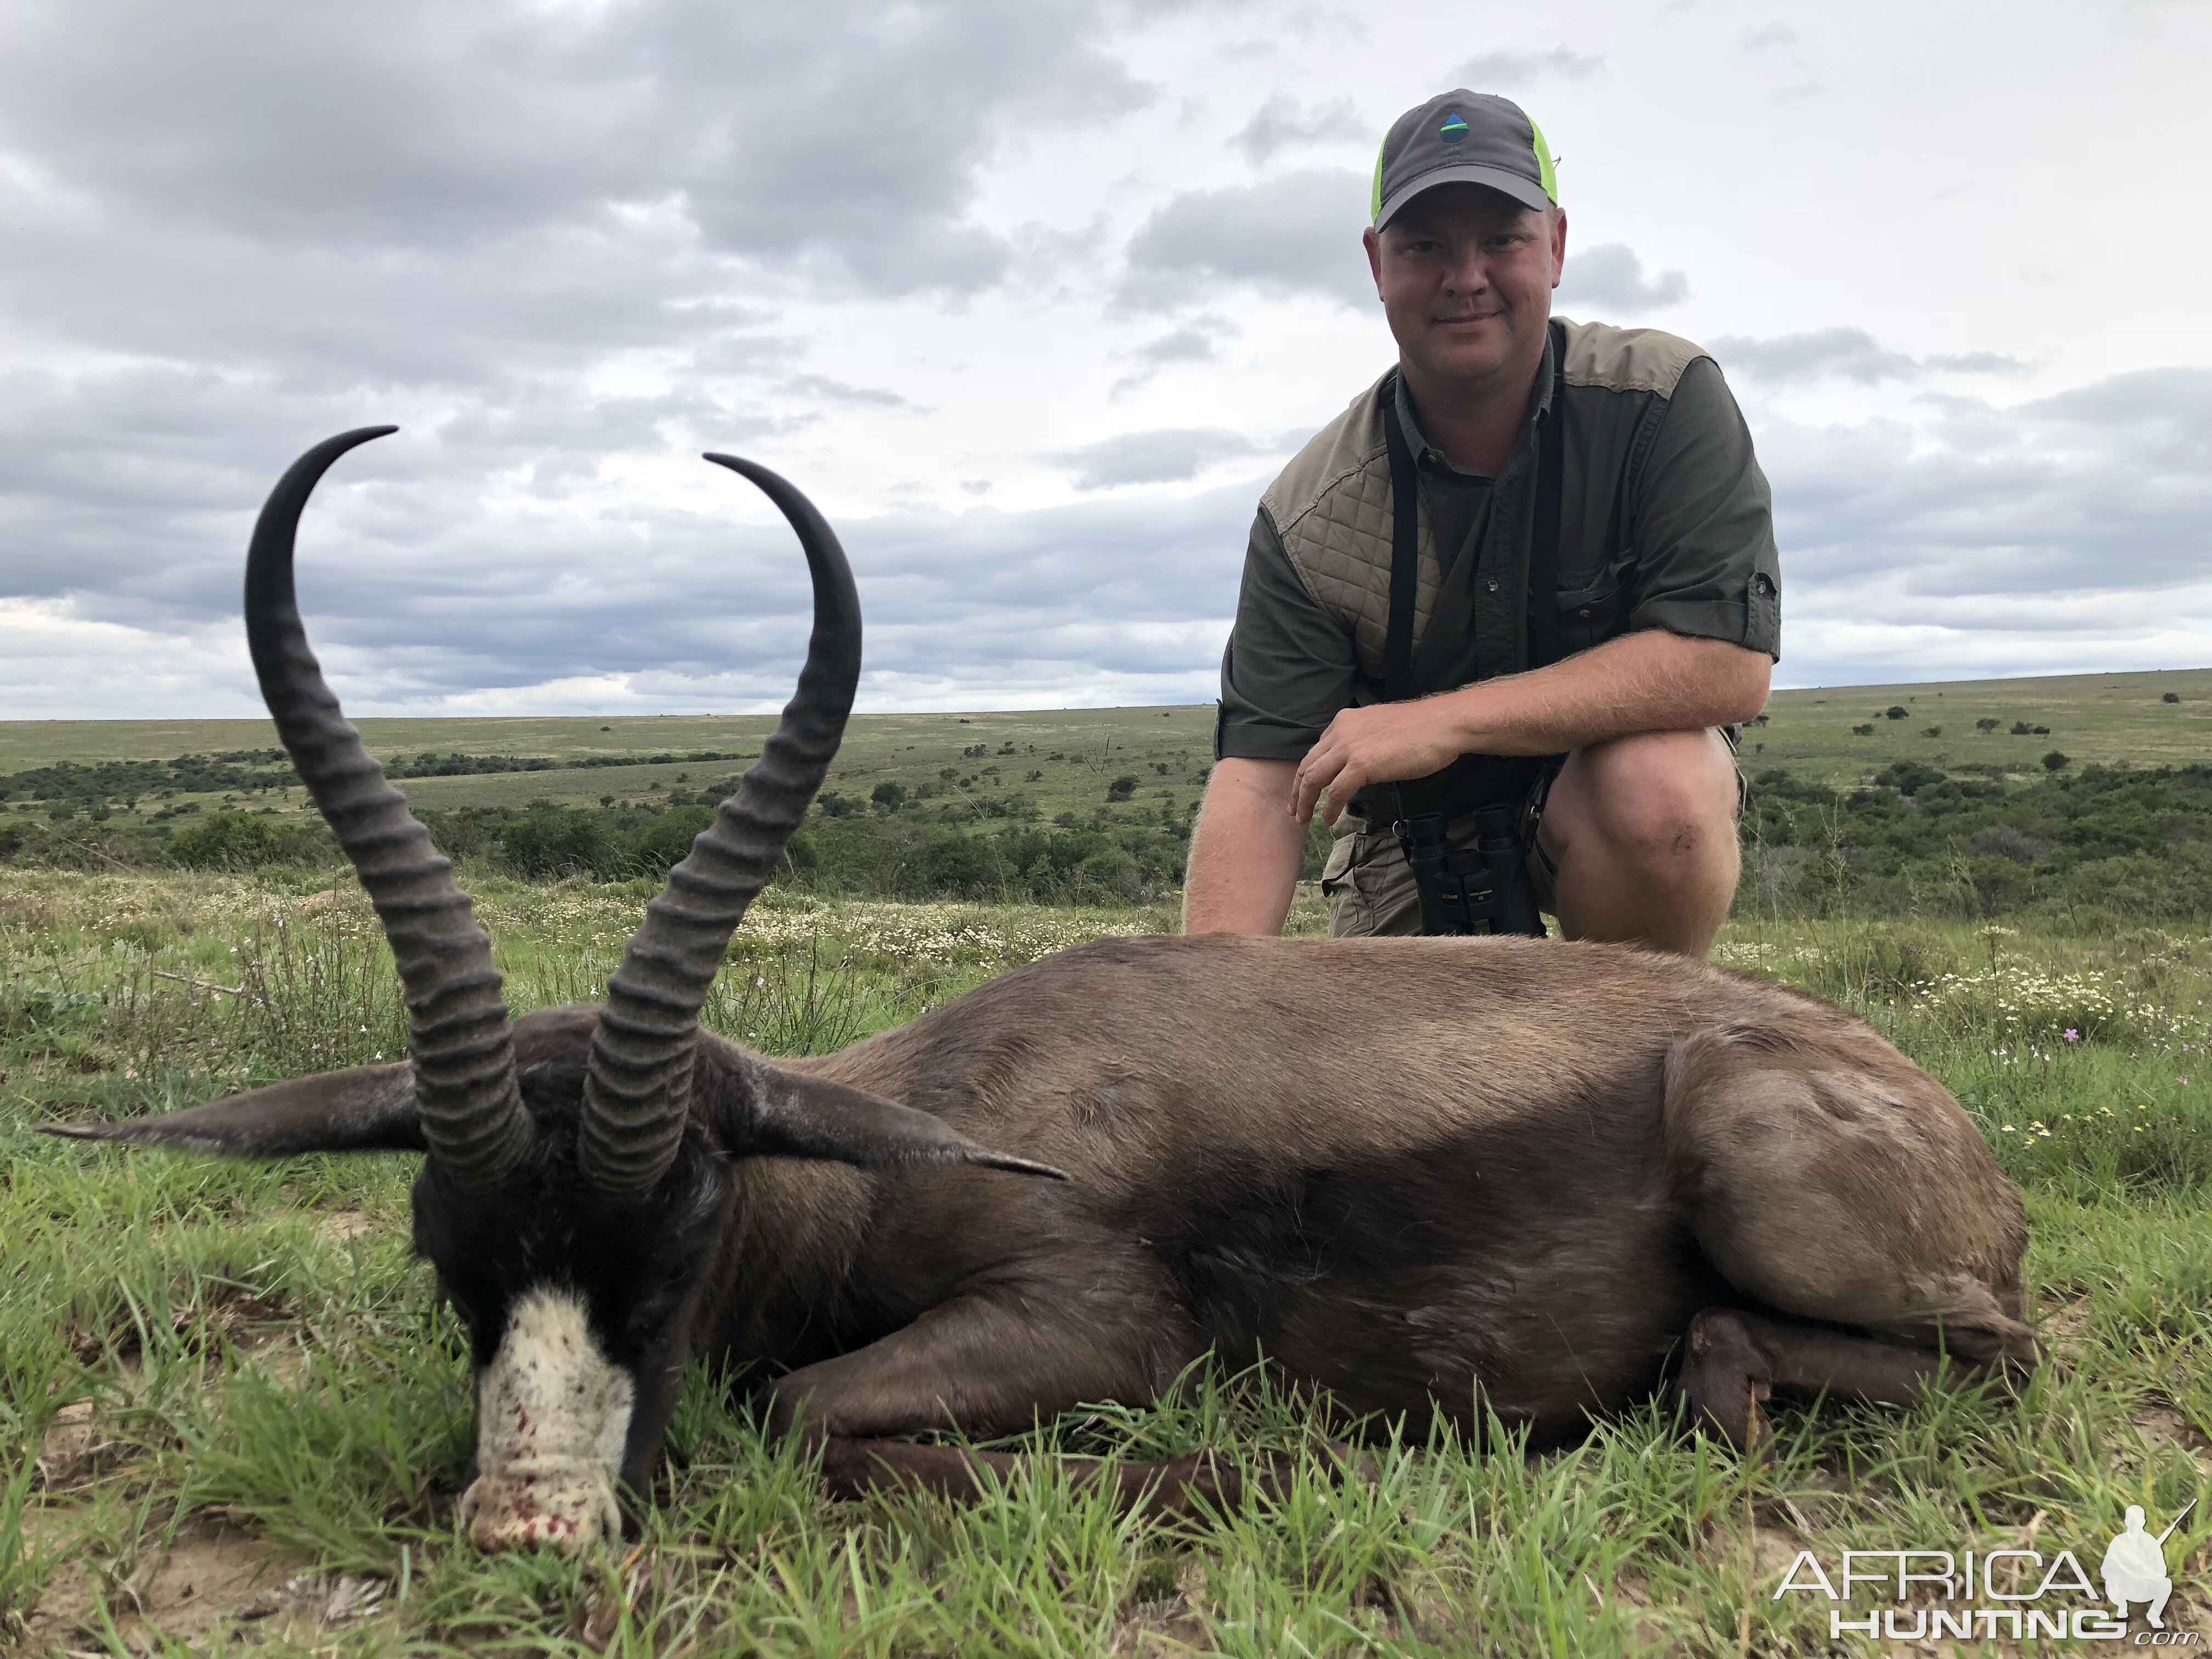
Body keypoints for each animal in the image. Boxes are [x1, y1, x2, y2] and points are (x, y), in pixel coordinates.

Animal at [47, 425, 2035, 1548]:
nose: (531, 1526)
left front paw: (1198, 1474)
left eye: (684, 1228)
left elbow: (803, 1413)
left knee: (1966, 1357)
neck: (889, 1155)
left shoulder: (1086, 1320)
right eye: (441, 1244)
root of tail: (1910, 1093)